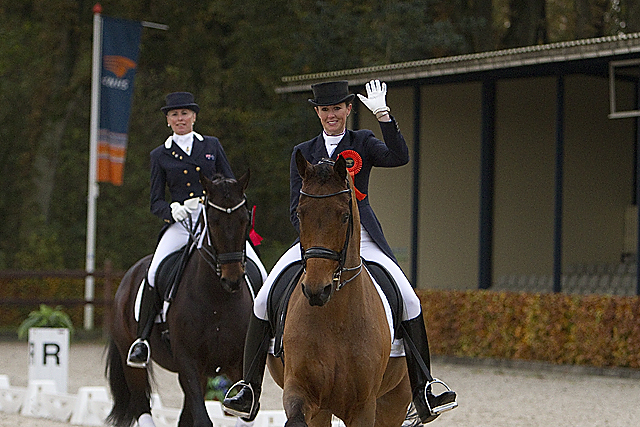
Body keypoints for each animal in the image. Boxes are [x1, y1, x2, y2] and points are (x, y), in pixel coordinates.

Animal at [106, 172, 254, 427]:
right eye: (213, 221)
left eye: (245, 219)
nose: (233, 280)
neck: (218, 301)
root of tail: (130, 274)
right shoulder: (188, 362)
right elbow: (202, 419)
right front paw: (180, 211)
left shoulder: (237, 364)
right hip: (131, 360)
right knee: (141, 405)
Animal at [267, 151, 412, 427]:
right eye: (299, 213)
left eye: (344, 216)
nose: (316, 290)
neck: (336, 318)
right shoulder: (300, 392)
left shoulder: (363, 407)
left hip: (394, 403)